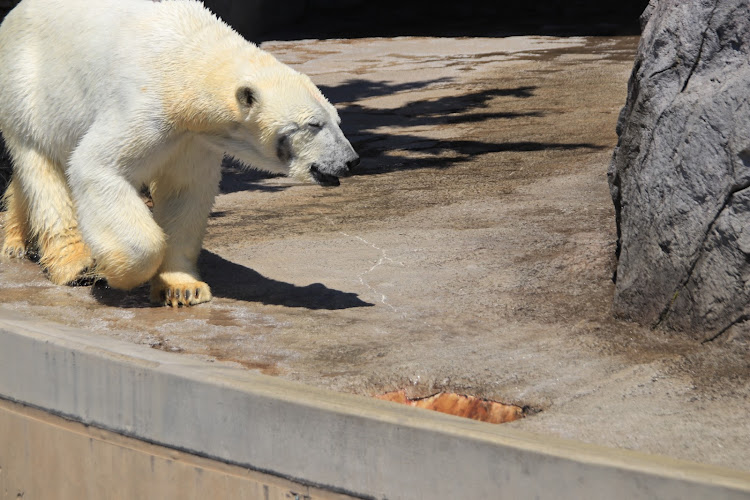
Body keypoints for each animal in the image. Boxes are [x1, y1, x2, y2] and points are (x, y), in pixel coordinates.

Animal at [0, 0, 362, 304]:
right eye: (313, 124)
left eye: (337, 120)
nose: (350, 161)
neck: (188, 60)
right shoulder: (145, 105)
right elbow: (98, 165)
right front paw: (116, 272)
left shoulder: (194, 138)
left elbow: (185, 191)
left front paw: (183, 288)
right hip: (29, 89)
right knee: (44, 170)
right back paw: (76, 265)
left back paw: (14, 240)